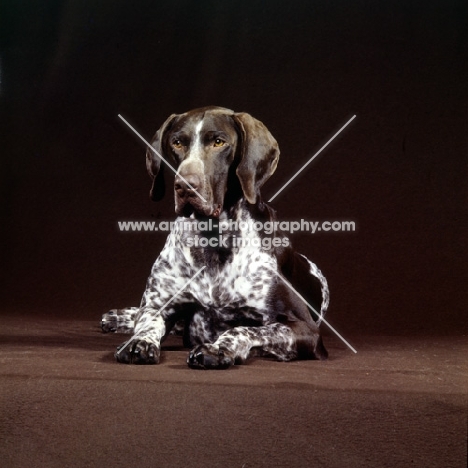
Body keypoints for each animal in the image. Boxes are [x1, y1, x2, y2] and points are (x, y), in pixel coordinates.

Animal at [102, 107, 330, 370]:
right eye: (177, 143)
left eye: (219, 142)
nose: (185, 186)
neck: (213, 240)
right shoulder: (157, 305)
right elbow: (149, 320)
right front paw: (139, 341)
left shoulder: (305, 328)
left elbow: (244, 330)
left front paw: (219, 348)